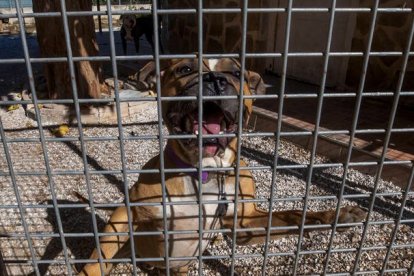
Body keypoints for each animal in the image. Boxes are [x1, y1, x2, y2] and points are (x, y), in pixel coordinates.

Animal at [78, 57, 366, 274]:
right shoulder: (131, 215)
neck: (206, 170)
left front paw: (335, 217)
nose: (215, 79)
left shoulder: (244, 222)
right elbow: (100, 259)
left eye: (237, 73)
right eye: (185, 69)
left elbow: (293, 214)